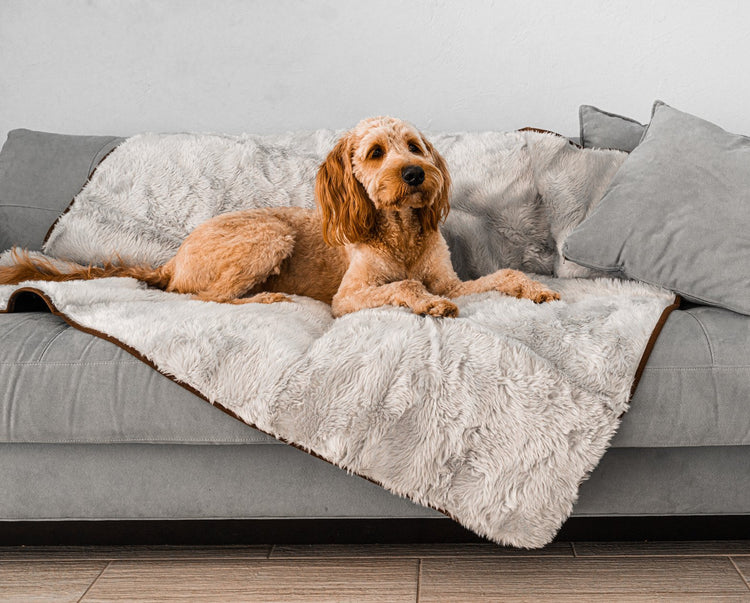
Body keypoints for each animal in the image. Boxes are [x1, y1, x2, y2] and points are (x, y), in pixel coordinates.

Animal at [0, 115, 560, 318]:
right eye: (377, 152)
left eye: (415, 147)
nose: (417, 174)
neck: (399, 231)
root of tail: (173, 259)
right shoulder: (348, 299)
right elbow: (404, 286)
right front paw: (425, 304)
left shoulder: (449, 279)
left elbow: (501, 275)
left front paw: (535, 288)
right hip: (268, 235)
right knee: (206, 297)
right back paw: (266, 297)